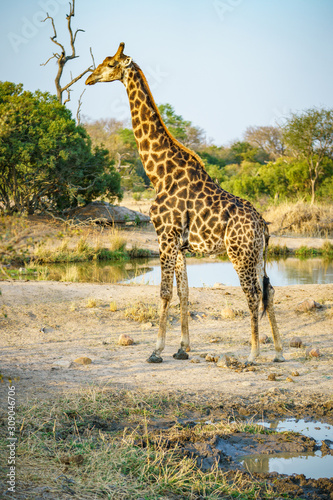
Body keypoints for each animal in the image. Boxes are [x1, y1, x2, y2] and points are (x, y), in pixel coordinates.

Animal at [85, 43, 282, 364]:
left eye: (111, 63)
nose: (89, 79)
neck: (159, 174)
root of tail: (263, 226)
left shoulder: (165, 235)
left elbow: (165, 292)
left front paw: (155, 350)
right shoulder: (179, 243)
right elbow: (184, 293)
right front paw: (182, 348)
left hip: (240, 253)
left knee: (252, 294)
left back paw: (253, 354)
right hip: (258, 255)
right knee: (269, 291)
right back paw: (278, 352)